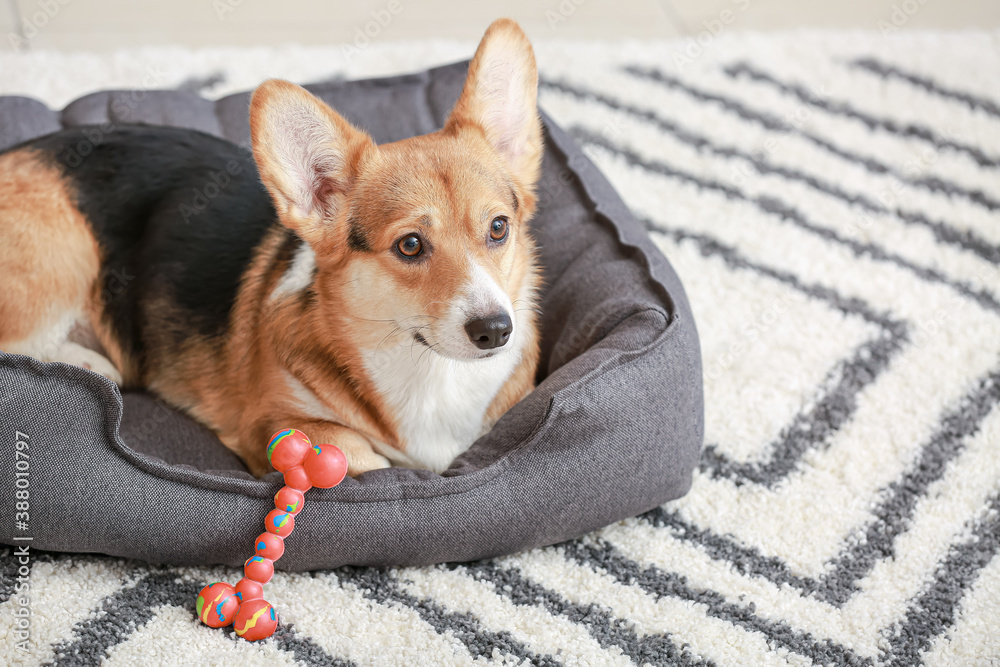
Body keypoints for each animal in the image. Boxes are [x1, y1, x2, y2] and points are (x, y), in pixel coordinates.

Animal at [0, 19, 540, 480]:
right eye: (410, 245)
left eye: (498, 228)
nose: (495, 331)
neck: (428, 370)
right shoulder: (270, 423)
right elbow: (357, 453)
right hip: (61, 262)